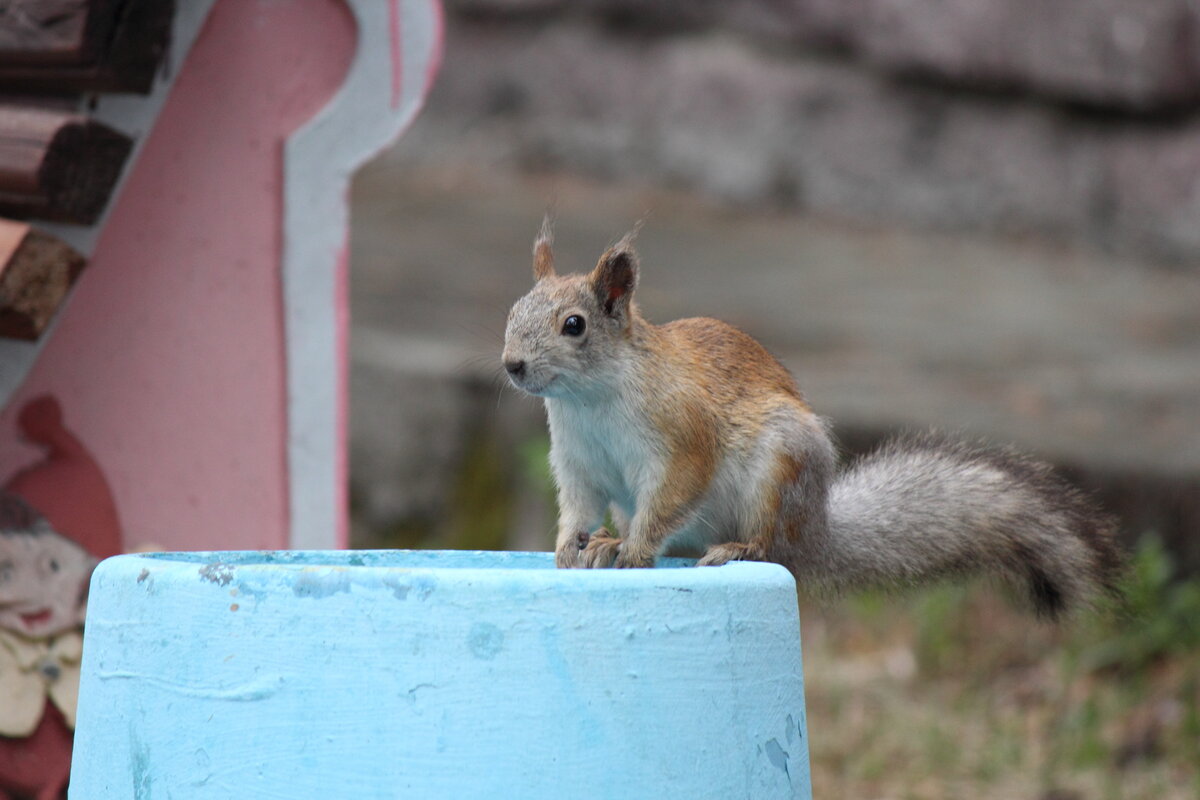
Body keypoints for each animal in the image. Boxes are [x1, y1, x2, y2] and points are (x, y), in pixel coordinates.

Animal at [501, 219, 1118, 618]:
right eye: (512, 311)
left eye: (574, 325)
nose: (512, 365)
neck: (588, 400)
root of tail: (816, 532)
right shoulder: (578, 460)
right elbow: (579, 505)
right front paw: (574, 546)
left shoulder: (681, 435)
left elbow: (673, 493)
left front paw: (632, 551)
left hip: (779, 469)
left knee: (770, 546)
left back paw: (735, 549)